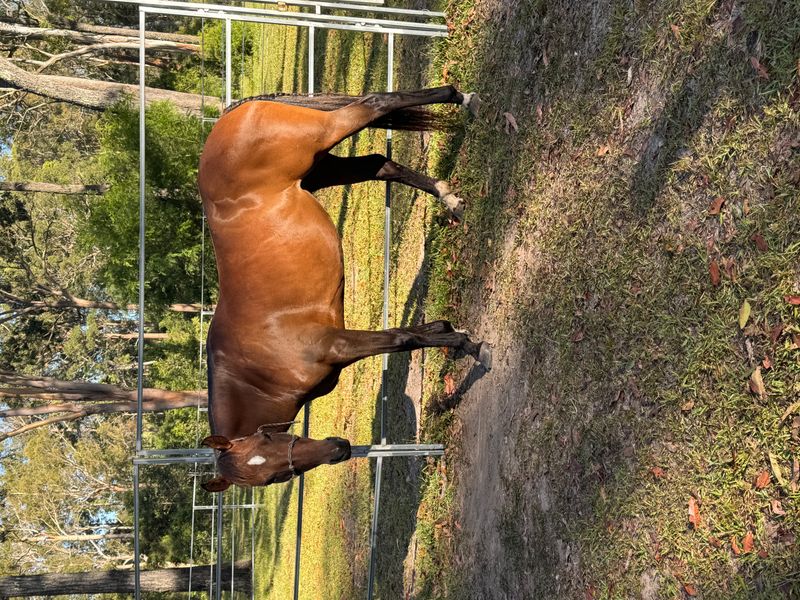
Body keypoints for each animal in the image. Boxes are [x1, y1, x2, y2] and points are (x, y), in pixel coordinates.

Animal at [196, 86, 491, 492]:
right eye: (271, 478)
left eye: (268, 438)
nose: (339, 448)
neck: (254, 369)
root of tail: (228, 119)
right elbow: (412, 333)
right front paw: (451, 333)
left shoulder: (337, 344)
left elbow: (402, 339)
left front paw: (473, 347)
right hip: (322, 169)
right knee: (379, 164)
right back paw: (450, 197)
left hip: (325, 135)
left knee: (376, 104)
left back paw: (463, 100)